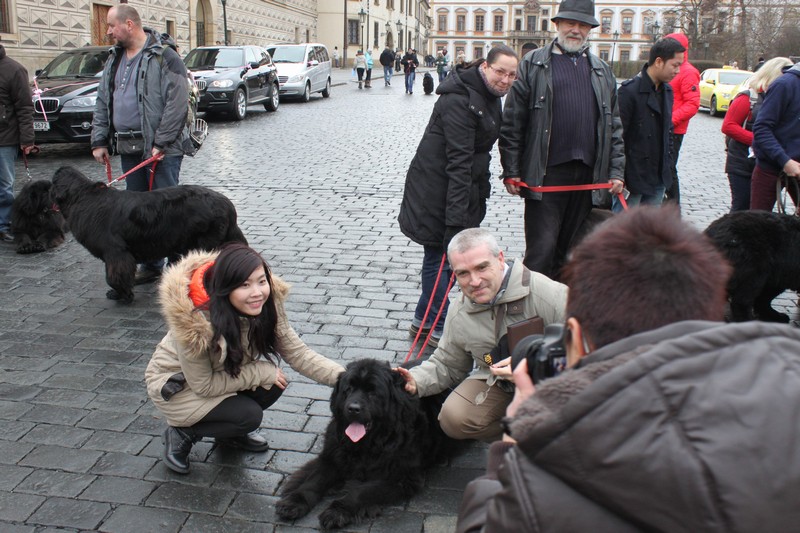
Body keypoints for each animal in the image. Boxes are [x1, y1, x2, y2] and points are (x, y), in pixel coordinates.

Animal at [51, 166, 245, 304]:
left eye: (51, 183)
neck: (81, 196)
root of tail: (227, 203)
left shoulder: (116, 253)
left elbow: (113, 276)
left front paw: (121, 294)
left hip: (207, 242)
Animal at [276, 358, 450, 528]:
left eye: (372, 392)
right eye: (349, 389)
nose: (353, 408)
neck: (370, 443)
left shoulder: (402, 477)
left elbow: (362, 491)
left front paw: (337, 511)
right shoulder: (333, 456)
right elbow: (314, 480)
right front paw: (294, 502)